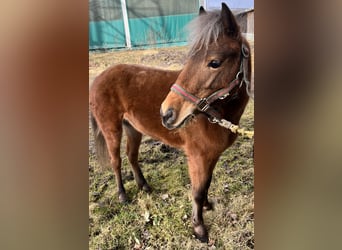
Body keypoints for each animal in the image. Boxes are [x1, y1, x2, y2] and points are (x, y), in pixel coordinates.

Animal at [89, 3, 252, 242]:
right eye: (189, 59)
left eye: (215, 63)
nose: (166, 114)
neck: (214, 112)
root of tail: (99, 78)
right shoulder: (198, 157)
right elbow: (197, 191)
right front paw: (199, 229)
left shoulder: (211, 156)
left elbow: (206, 184)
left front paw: (207, 206)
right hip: (112, 130)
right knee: (116, 161)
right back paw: (122, 195)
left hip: (133, 129)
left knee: (132, 156)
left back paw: (144, 186)